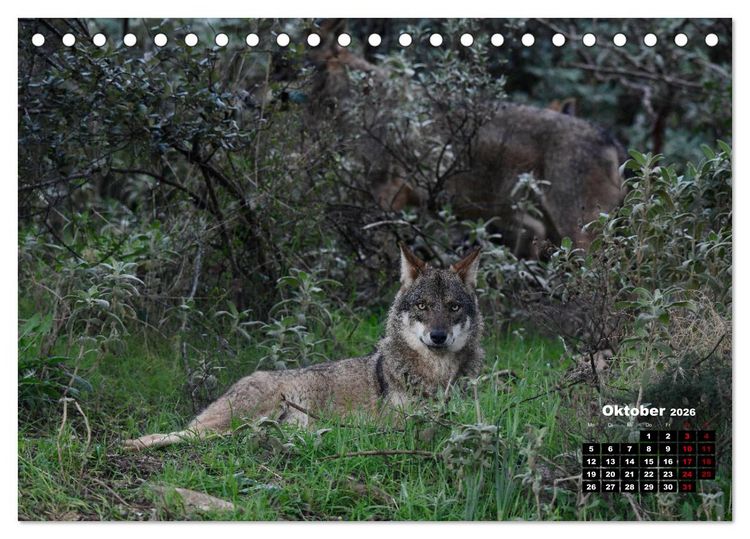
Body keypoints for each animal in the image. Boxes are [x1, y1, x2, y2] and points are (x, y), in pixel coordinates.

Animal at [123, 244, 484, 450]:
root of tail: (242, 380)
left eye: (453, 307)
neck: (435, 376)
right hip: (237, 420)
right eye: (423, 306)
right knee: (175, 435)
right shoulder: (394, 423)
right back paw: (127, 444)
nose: (438, 336)